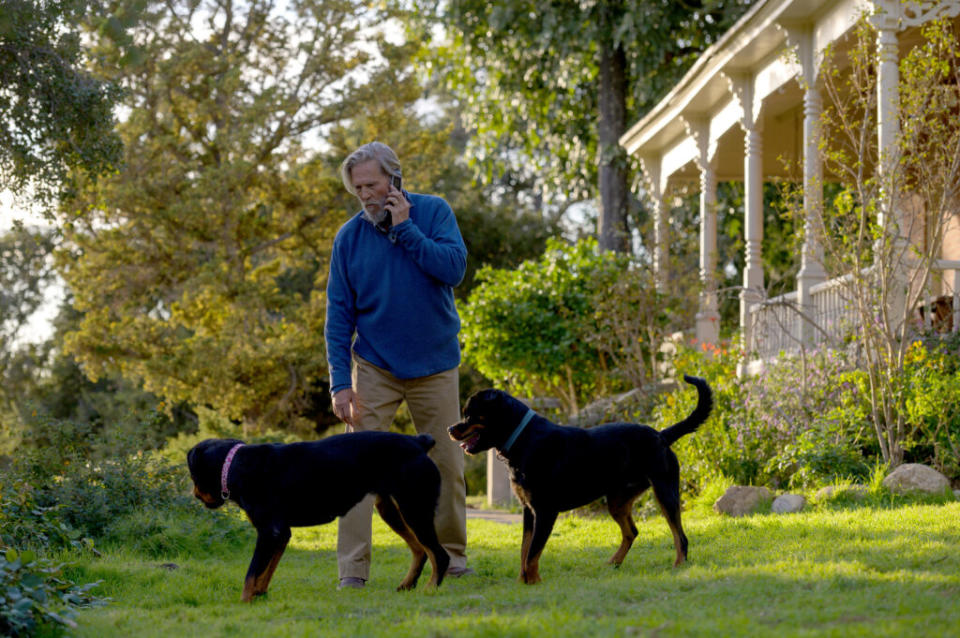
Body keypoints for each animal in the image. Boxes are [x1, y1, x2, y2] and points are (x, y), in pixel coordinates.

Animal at [187, 432, 450, 604]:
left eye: (192, 475)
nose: (194, 494)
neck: (234, 465)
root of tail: (418, 442)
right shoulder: (281, 533)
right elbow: (267, 570)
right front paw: (260, 594)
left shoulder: (269, 531)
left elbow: (252, 572)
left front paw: (244, 602)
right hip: (392, 509)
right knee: (420, 550)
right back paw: (407, 584)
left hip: (414, 509)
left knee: (440, 554)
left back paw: (430, 589)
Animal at [450, 376, 712, 584]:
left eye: (471, 414)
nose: (450, 429)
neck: (524, 439)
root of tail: (661, 435)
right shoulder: (528, 510)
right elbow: (524, 549)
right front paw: (522, 581)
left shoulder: (545, 511)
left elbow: (533, 551)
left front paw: (533, 581)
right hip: (617, 500)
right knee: (632, 532)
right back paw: (613, 563)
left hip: (665, 491)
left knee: (680, 536)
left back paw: (679, 566)